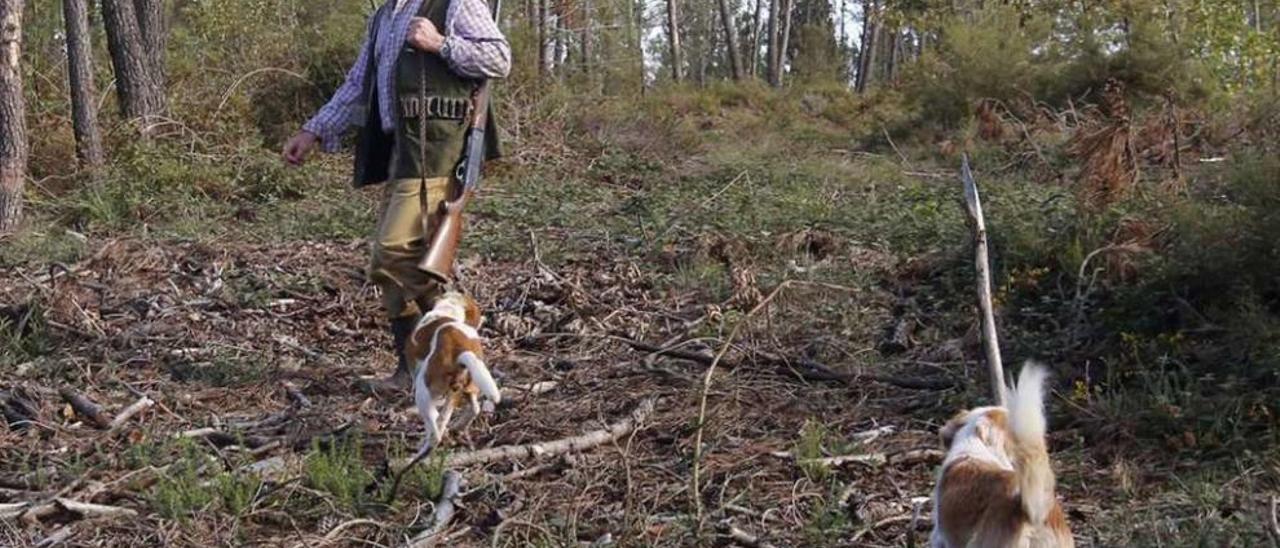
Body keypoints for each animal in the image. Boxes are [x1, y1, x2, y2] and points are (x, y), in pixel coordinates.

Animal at [404, 290, 499, 458]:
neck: (448, 310)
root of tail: (461, 350)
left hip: (423, 392)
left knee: (435, 432)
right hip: (469, 387)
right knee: (474, 409)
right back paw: (457, 427)